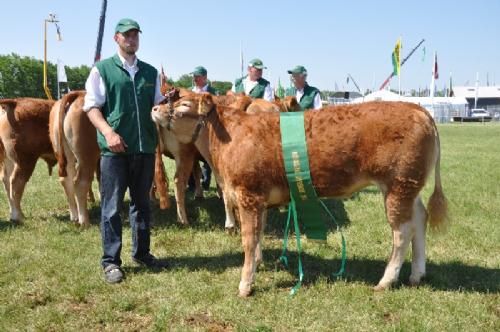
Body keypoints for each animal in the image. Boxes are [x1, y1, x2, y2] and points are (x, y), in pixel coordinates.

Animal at [49, 91, 100, 228]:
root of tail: (78, 94)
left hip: (65, 153)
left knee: (66, 180)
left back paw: (74, 216)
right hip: (87, 154)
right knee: (80, 182)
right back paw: (84, 221)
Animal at [150, 94, 448, 298]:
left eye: (184, 105)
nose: (154, 108)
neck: (228, 138)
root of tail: (418, 109)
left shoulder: (248, 194)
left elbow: (248, 240)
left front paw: (245, 284)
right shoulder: (257, 199)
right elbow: (257, 235)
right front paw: (258, 263)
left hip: (398, 185)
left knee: (402, 232)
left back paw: (386, 280)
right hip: (408, 187)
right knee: (419, 219)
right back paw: (417, 274)